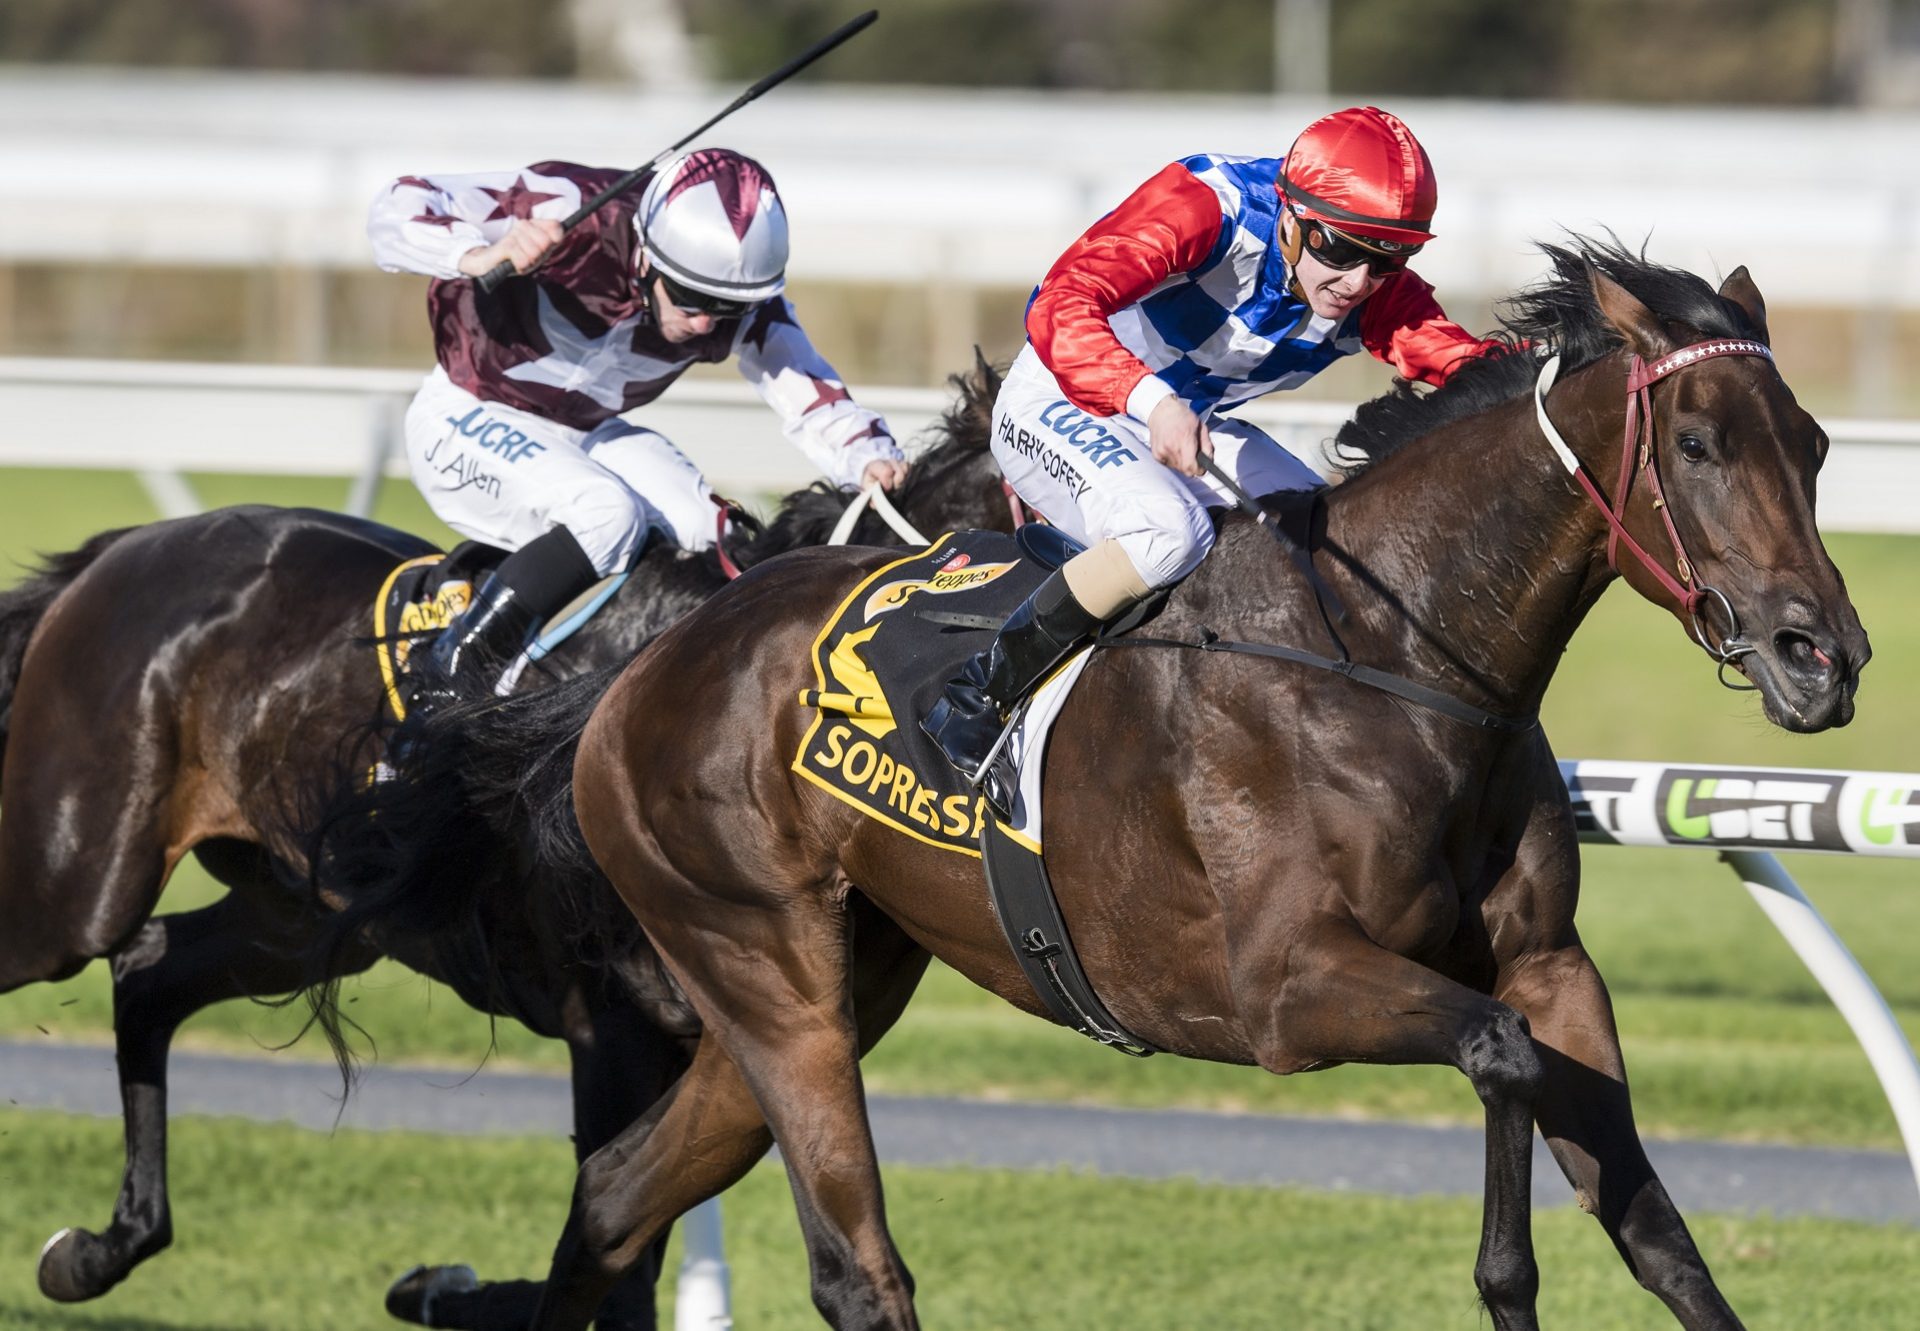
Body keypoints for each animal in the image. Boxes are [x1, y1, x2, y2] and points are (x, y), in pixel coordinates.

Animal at [0, 363, 1021, 1329]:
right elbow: (622, 1259)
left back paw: (95, 1249)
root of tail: (122, 548)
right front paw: (454, 1288)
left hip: (297, 911)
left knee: (149, 969)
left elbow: (624, 1234)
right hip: (78, 877)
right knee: (101, 945)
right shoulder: (613, 1025)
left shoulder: (727, 1034)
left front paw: (445, 1287)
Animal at [393, 241, 1873, 1329]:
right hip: (764, 962)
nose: (1827, 655)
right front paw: (1506, 1284)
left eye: (1810, 442)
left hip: (837, 970)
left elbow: (1651, 1218)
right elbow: (1499, 1057)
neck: (1392, 658)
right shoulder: (1284, 990)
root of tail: (645, 663)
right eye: (1697, 443)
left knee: (614, 1193)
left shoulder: (1551, 962)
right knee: (855, 1266)